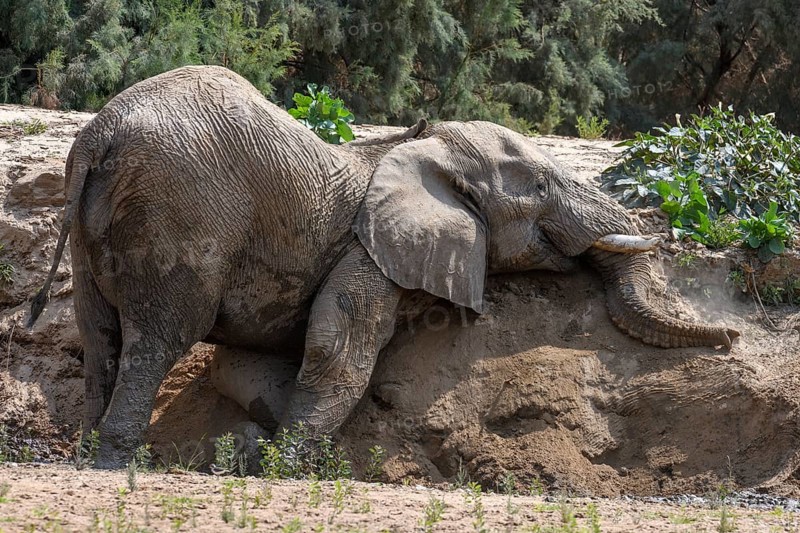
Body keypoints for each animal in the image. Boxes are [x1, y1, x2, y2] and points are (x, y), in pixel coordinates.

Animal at [28, 65, 739, 468]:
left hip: (97, 230)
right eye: (538, 187)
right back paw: (119, 464)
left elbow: (259, 359)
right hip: (180, 215)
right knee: (160, 336)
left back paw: (88, 452)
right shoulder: (371, 256)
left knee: (100, 334)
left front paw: (254, 450)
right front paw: (282, 465)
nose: (729, 336)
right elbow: (337, 352)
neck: (415, 150)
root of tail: (98, 135)